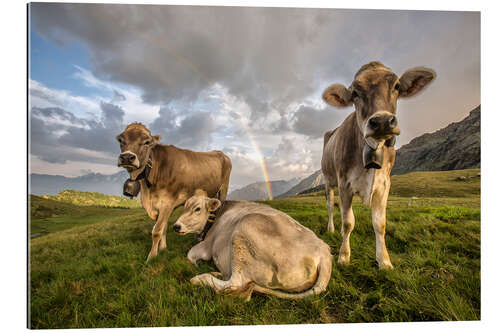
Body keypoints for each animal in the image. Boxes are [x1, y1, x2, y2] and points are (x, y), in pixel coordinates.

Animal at [116, 122, 231, 262]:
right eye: (120, 140)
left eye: (147, 142)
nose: (127, 157)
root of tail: (219, 152)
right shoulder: (160, 205)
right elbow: (164, 227)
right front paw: (162, 249)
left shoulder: (167, 202)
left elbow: (157, 231)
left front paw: (151, 257)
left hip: (224, 189)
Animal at [172, 193, 332, 300]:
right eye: (184, 208)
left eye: (197, 209)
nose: (176, 226)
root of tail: (324, 251)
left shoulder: (207, 246)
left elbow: (190, 254)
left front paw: (196, 264)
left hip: (246, 226)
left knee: (236, 283)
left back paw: (200, 278)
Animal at [322, 61, 436, 268]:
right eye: (354, 93)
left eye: (397, 86)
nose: (382, 121)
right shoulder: (344, 184)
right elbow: (348, 222)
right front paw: (344, 256)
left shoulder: (384, 185)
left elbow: (379, 224)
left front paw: (384, 260)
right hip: (328, 180)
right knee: (330, 207)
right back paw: (332, 229)